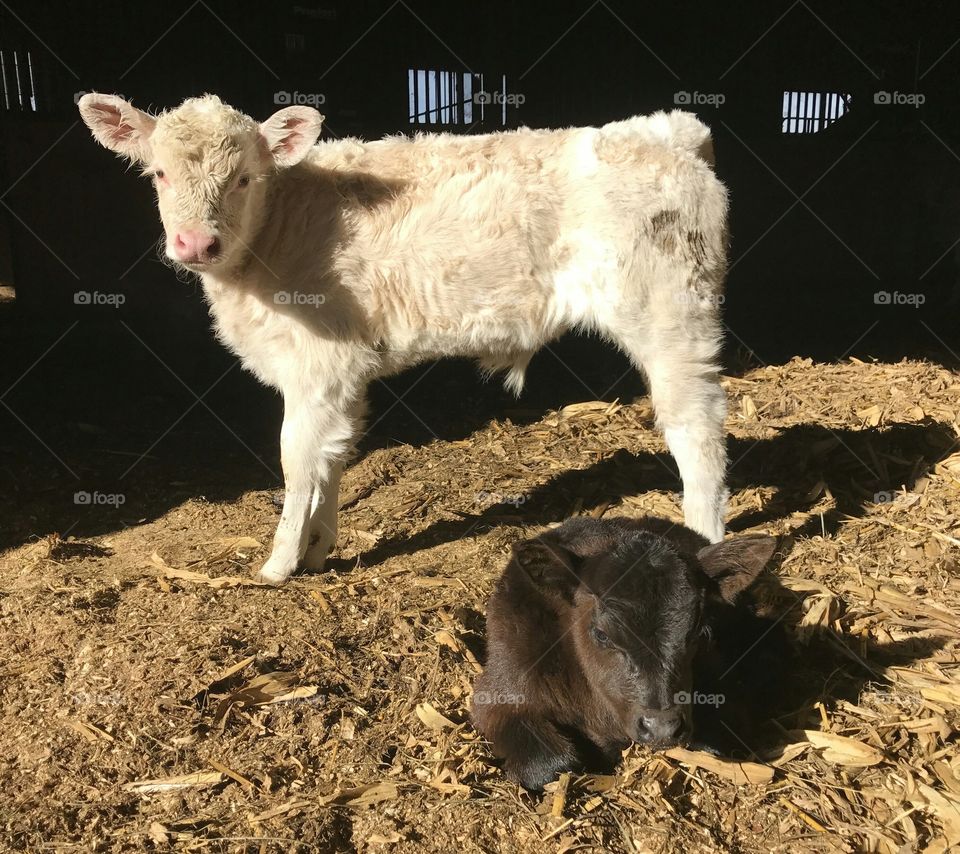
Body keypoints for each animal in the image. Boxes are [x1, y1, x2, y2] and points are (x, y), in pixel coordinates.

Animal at [78, 93, 730, 585]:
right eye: (159, 173)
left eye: (244, 178)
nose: (195, 243)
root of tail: (668, 130)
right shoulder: (342, 372)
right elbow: (332, 457)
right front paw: (319, 550)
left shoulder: (316, 366)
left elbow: (296, 460)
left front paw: (277, 566)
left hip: (670, 314)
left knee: (695, 426)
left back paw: (704, 539)